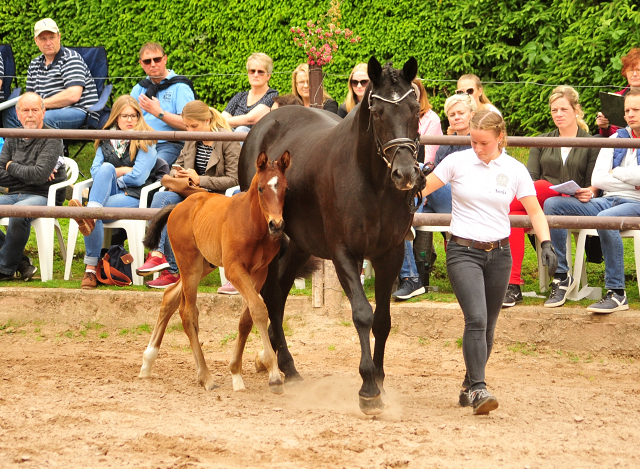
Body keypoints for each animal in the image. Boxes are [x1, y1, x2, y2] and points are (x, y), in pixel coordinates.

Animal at [141, 152, 292, 394]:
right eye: (261, 188)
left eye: (285, 189)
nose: (276, 225)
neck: (252, 223)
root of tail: (178, 207)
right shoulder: (234, 270)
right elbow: (259, 310)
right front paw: (274, 375)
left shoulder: (259, 273)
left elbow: (247, 318)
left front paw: (236, 374)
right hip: (190, 265)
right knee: (188, 313)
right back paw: (206, 377)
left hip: (205, 265)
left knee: (170, 296)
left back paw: (148, 362)